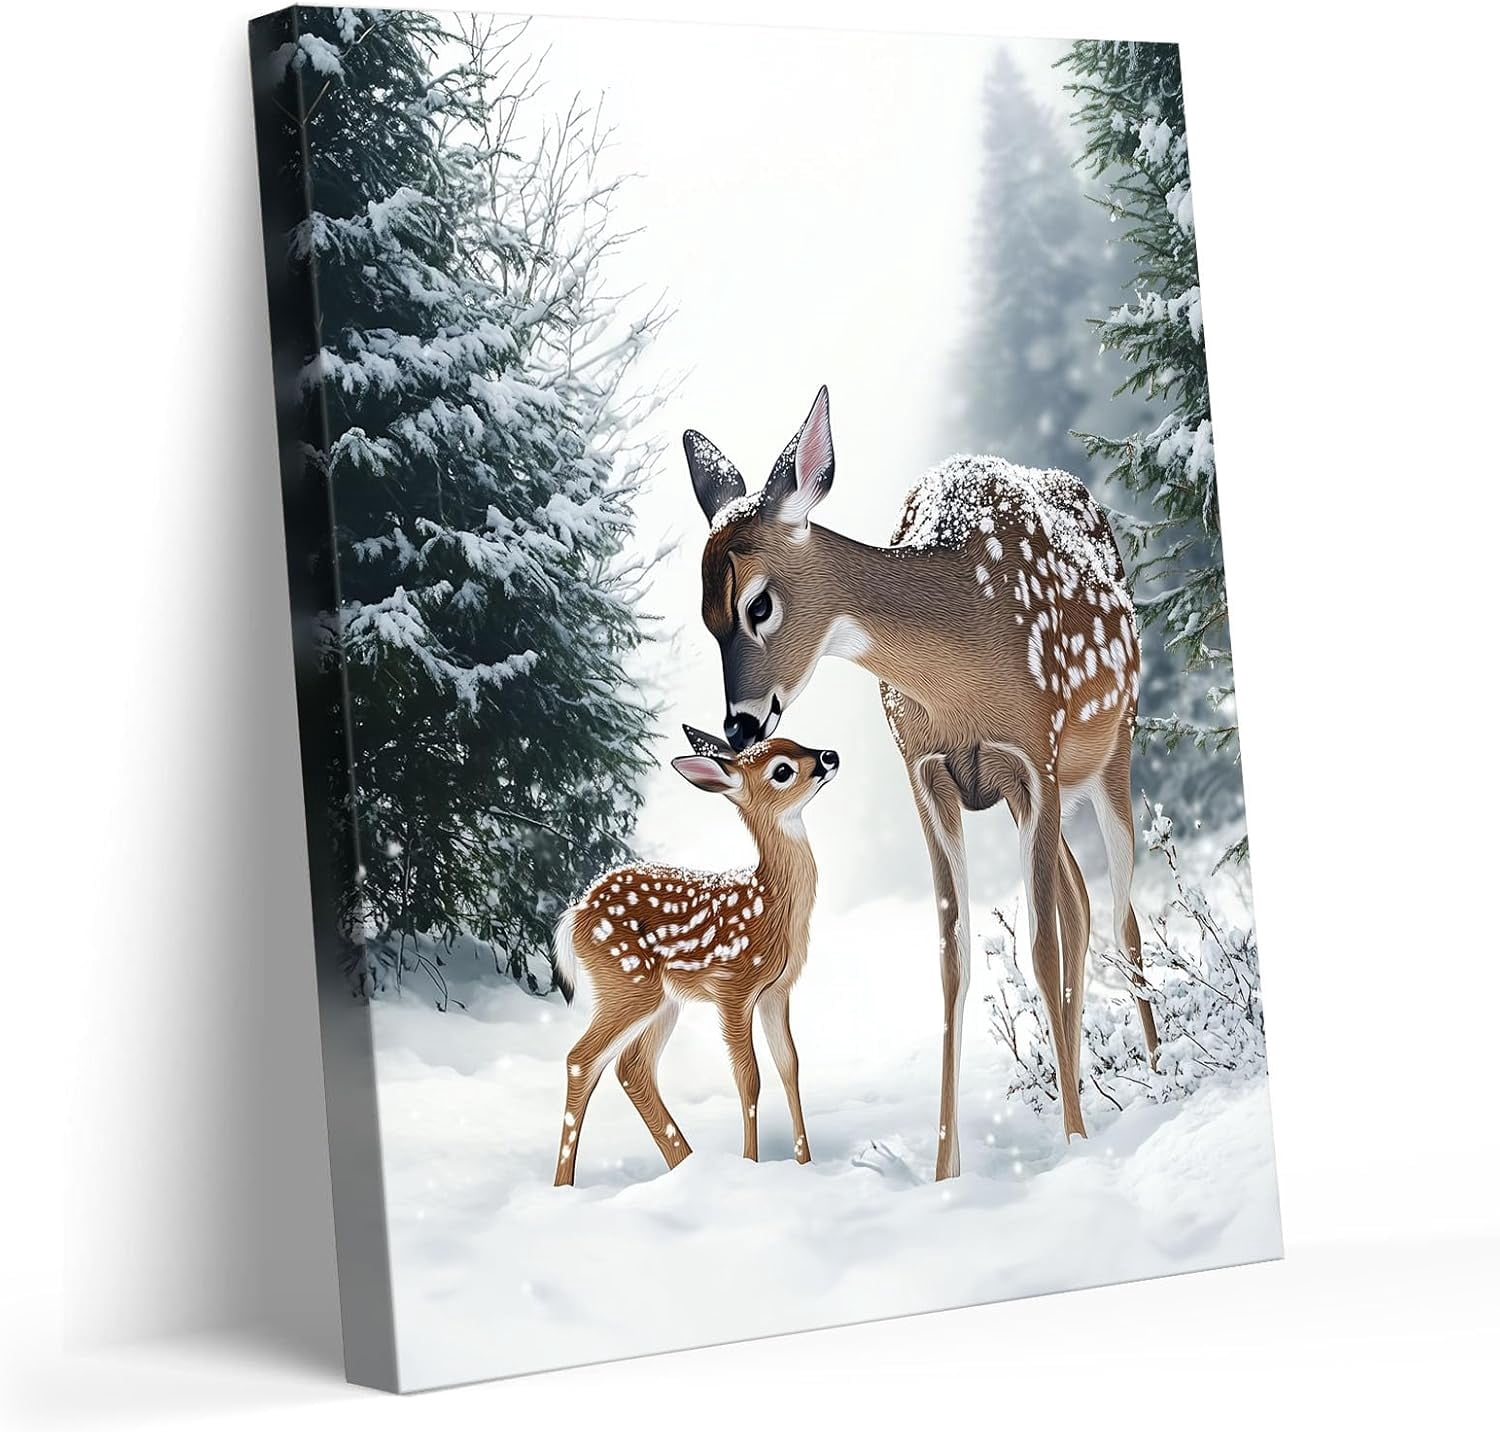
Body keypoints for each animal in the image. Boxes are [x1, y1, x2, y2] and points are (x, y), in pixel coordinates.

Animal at [551, 726, 839, 1187]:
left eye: (798, 743)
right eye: (782, 770)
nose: (830, 756)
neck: (772, 905)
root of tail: (575, 913)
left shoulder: (777, 991)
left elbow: (789, 1066)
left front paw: (805, 1165)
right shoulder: (734, 987)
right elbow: (749, 1077)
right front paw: (750, 1165)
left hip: (663, 1001)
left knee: (631, 1068)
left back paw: (686, 1164)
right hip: (628, 981)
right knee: (581, 1059)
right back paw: (565, 1186)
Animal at [683, 385, 1160, 1180]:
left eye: (758, 604)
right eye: (704, 615)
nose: (742, 726)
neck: (957, 675)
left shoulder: (1034, 748)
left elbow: (1039, 947)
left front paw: (1073, 1144)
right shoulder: (924, 767)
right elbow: (952, 955)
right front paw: (946, 1171)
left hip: (1108, 748)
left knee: (1121, 909)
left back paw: (1153, 1076)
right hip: (1040, 793)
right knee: (1081, 901)